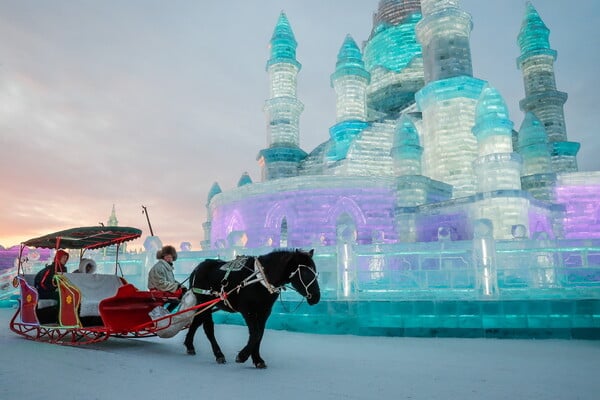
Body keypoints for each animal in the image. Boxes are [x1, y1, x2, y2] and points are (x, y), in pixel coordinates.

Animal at [185, 250, 322, 368]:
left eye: (315, 272)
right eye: (304, 273)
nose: (316, 297)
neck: (260, 279)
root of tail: (197, 268)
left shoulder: (264, 311)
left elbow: (259, 334)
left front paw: (257, 359)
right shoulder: (248, 310)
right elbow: (255, 333)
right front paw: (242, 356)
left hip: (206, 304)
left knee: (196, 321)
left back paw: (189, 345)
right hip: (205, 302)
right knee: (208, 328)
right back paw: (219, 354)